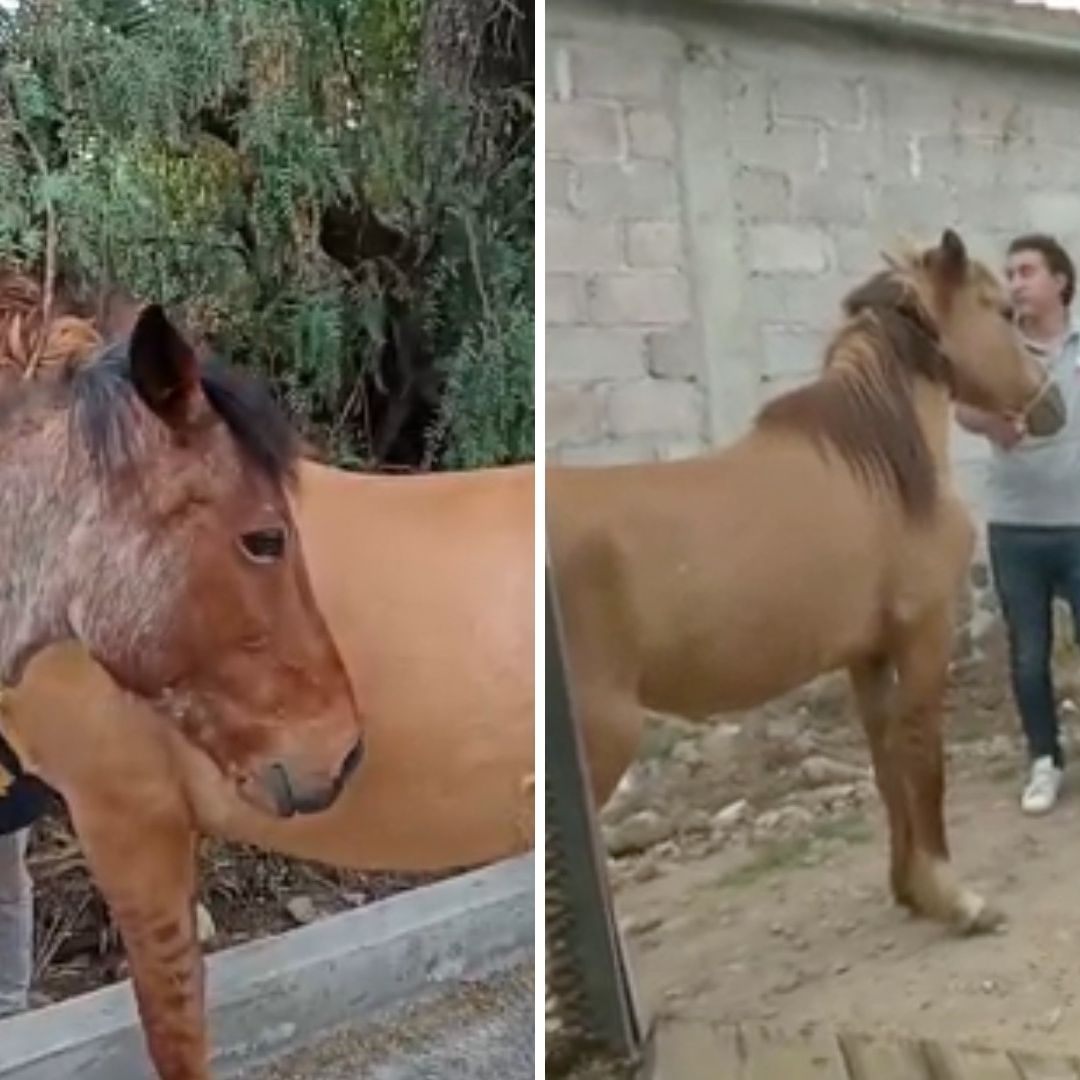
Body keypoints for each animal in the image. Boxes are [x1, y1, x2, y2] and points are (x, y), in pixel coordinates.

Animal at [547, 229, 1065, 937]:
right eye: (1005, 311)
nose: (1053, 406)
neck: (880, 465)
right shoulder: (924, 635)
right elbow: (924, 760)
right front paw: (957, 898)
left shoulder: (866, 654)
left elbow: (887, 766)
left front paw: (913, 890)